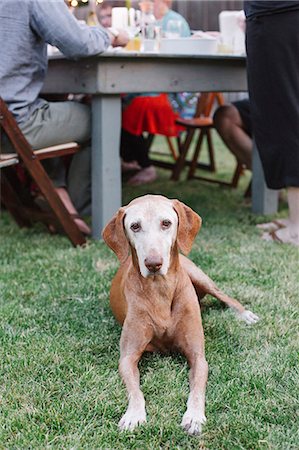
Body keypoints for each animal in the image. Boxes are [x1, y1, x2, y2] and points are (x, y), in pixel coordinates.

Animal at [103, 195, 260, 434]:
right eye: (135, 226)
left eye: (166, 223)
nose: (153, 263)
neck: (160, 289)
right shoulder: (127, 358)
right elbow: (135, 390)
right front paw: (133, 415)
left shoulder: (198, 357)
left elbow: (197, 390)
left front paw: (194, 417)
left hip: (200, 276)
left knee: (225, 296)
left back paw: (245, 315)